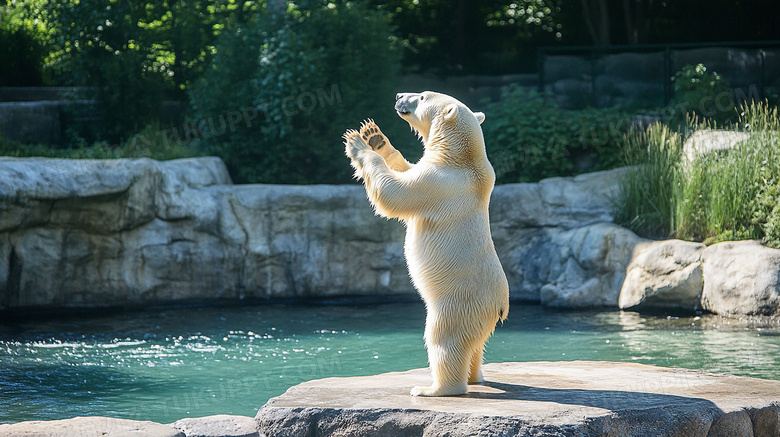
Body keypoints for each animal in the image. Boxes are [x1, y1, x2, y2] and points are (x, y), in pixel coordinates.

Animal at [344, 91, 508, 396]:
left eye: (421, 96)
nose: (399, 95)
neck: (463, 159)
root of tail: (500, 306)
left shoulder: (439, 181)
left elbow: (396, 193)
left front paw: (357, 143)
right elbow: (405, 168)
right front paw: (375, 137)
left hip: (459, 302)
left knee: (445, 339)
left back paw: (434, 388)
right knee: (475, 345)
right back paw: (474, 376)